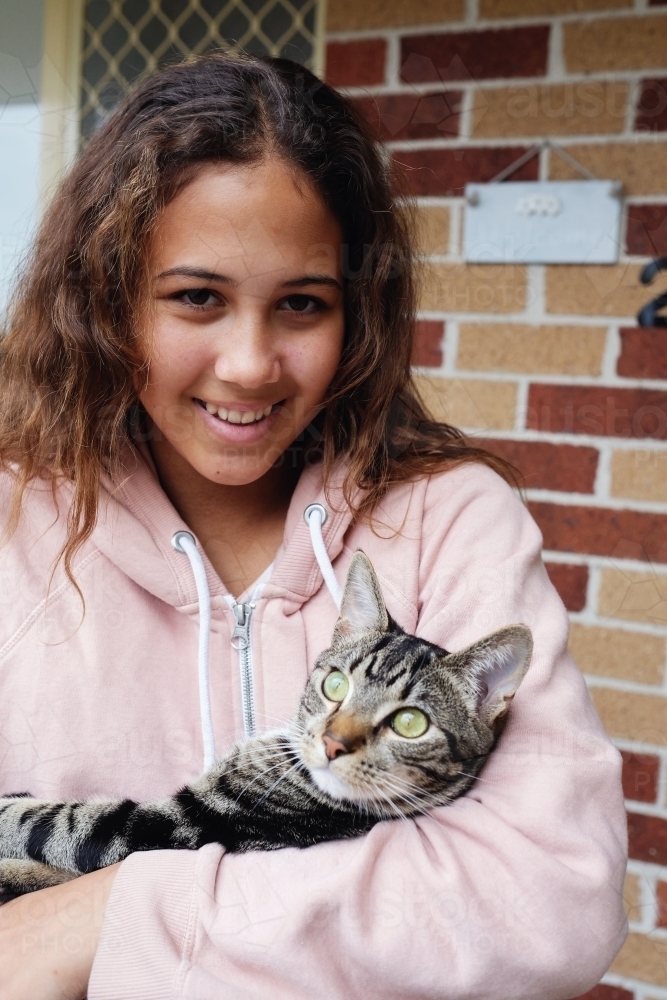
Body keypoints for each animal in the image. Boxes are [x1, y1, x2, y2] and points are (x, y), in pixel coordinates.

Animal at [0, 552, 536, 904]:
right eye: (336, 684)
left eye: (410, 723)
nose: (332, 742)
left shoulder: (181, 824)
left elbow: (60, 822)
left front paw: (12, 810)